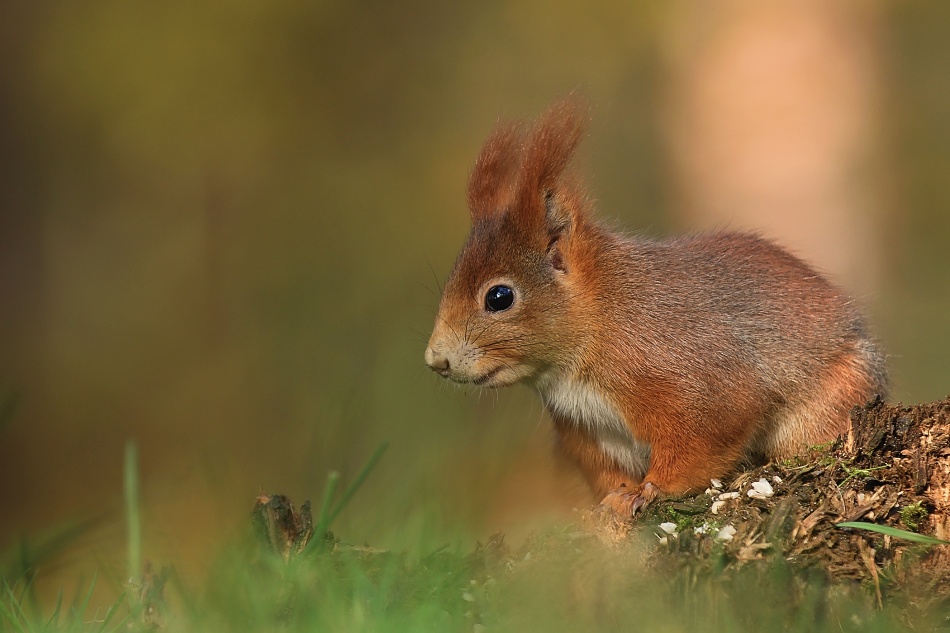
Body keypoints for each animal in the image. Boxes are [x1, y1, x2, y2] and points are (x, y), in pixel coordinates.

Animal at [424, 97, 884, 512]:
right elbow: (607, 475)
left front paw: (652, 490)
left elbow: (708, 434)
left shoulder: (690, 377)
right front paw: (612, 502)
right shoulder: (588, 433)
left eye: (499, 297)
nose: (435, 360)